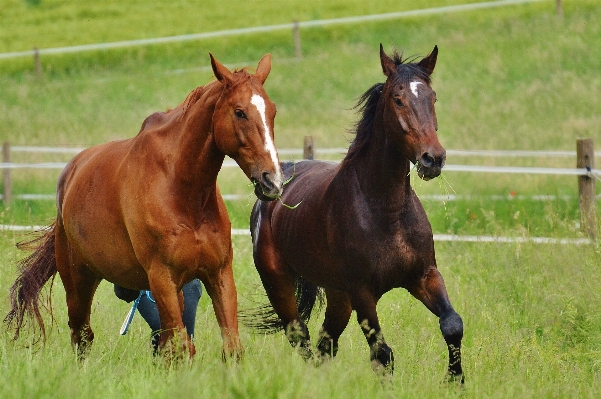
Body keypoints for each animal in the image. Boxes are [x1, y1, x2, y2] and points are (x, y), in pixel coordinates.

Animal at [4, 51, 282, 360]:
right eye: (239, 112)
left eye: (272, 112)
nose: (272, 180)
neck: (183, 192)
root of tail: (70, 175)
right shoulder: (162, 277)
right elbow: (180, 348)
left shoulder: (218, 274)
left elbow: (230, 348)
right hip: (79, 282)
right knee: (82, 335)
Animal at [246, 43, 462, 382]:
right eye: (397, 99)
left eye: (433, 97)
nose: (433, 159)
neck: (386, 211)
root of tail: (271, 189)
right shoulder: (363, 293)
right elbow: (382, 354)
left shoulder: (424, 276)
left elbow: (452, 325)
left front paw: (456, 382)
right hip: (279, 284)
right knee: (300, 338)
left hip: (338, 296)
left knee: (325, 344)